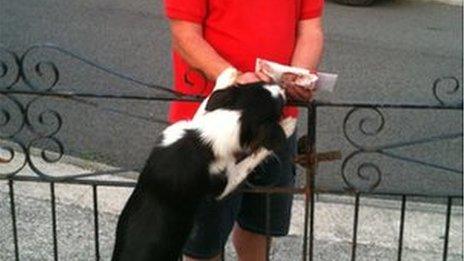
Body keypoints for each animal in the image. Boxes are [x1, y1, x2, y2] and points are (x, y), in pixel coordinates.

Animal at [110, 68, 296, 260]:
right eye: (280, 106)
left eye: (259, 83)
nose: (283, 87)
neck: (203, 141)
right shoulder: (223, 185)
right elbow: (251, 159)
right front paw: (287, 126)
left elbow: (203, 109)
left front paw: (226, 76)